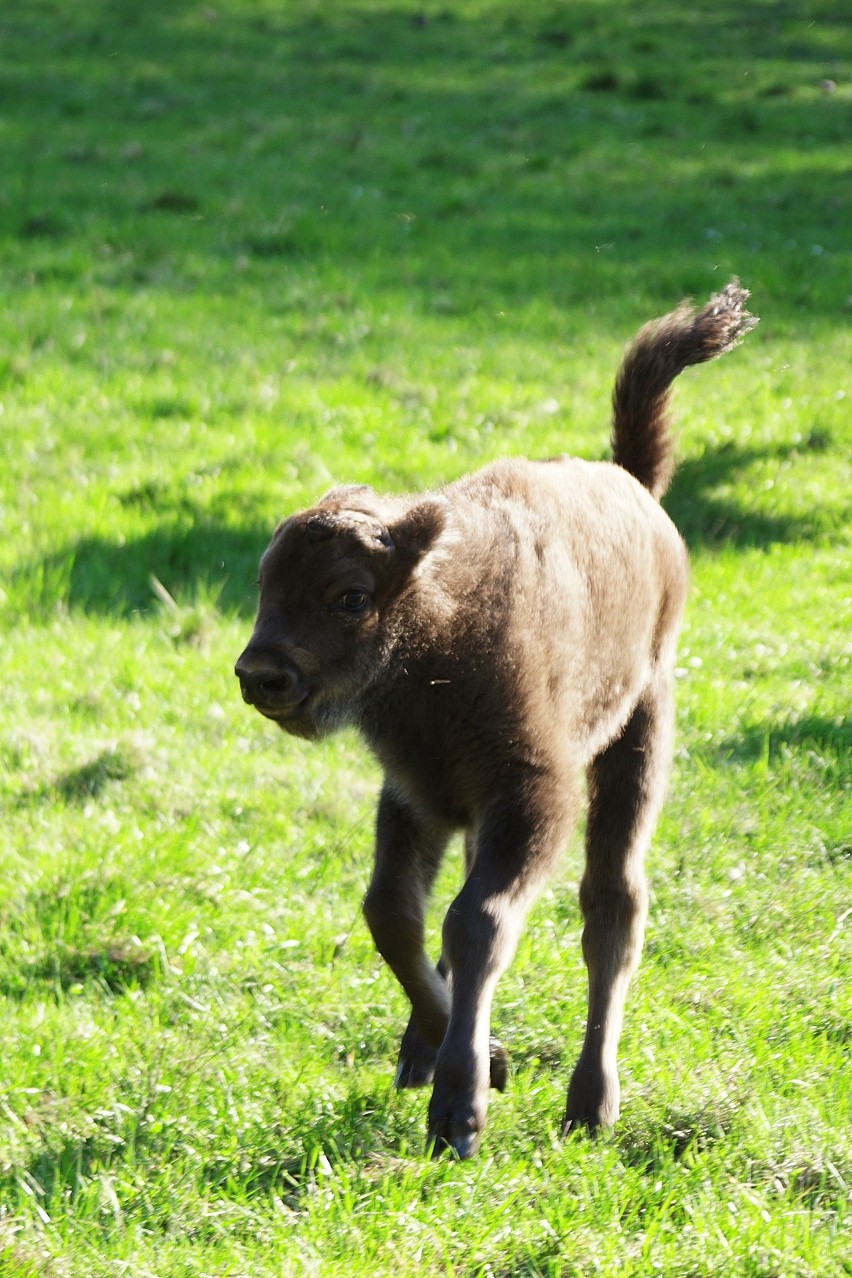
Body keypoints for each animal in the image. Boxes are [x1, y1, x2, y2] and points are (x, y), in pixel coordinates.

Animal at [236, 279, 756, 1160]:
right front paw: (471, 1054)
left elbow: (475, 921)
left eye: (350, 595)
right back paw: (435, 1053)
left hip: (638, 734)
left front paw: (462, 1108)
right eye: (266, 583)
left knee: (611, 909)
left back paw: (590, 1105)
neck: (437, 627)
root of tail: (631, 481)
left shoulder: (531, 794)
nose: (261, 674)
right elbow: (394, 915)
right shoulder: (418, 797)